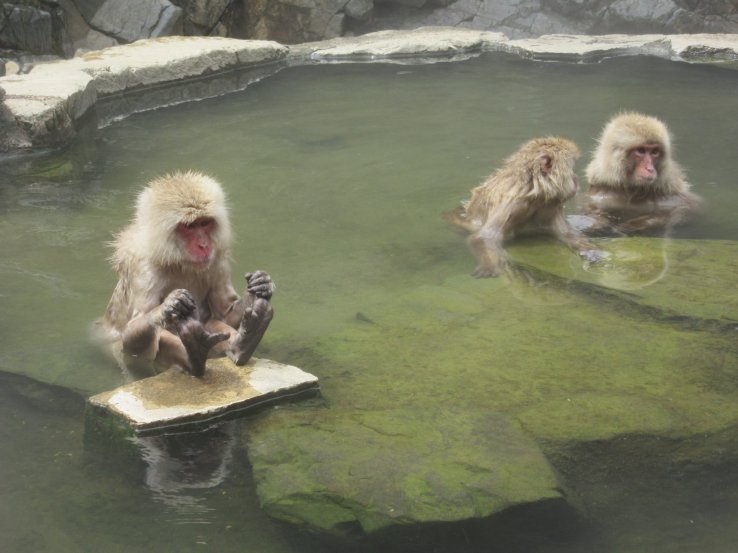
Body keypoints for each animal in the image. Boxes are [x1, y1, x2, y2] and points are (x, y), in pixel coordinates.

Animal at [98, 171, 274, 377]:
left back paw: (243, 341)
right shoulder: (144, 270)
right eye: (189, 226)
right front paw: (171, 303)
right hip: (117, 354)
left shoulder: (217, 260)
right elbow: (131, 331)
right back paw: (195, 356)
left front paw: (262, 284)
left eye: (204, 223)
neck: (177, 261)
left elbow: (224, 314)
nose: (204, 245)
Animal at [448, 137, 601, 278]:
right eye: (572, 168)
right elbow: (484, 237)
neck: (534, 192)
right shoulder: (513, 204)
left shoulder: (550, 205)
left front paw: (589, 251)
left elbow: (566, 234)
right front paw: (489, 265)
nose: (576, 179)